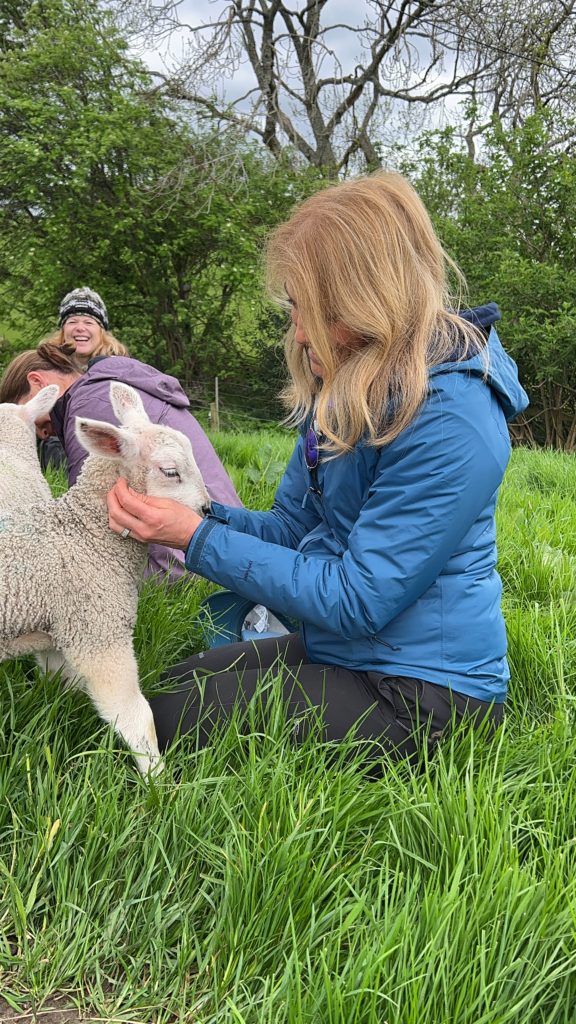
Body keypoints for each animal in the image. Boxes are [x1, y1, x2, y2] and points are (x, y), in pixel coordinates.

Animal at [0, 380, 211, 770]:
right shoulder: (98, 630)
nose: (207, 509)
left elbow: (62, 686)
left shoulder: (58, 633)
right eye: (170, 471)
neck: (86, 536)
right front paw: (157, 778)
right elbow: (136, 717)